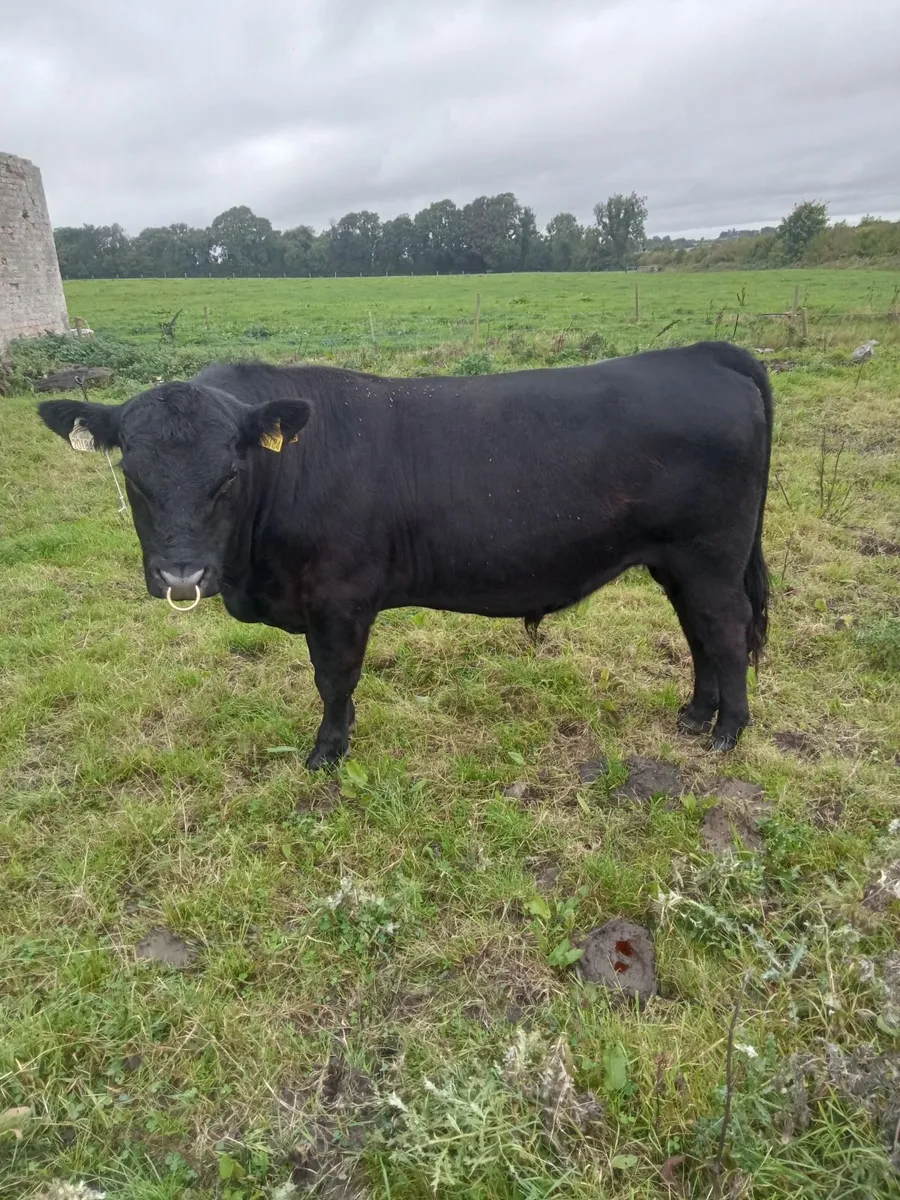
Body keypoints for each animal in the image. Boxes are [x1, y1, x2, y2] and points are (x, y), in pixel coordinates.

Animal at [37, 340, 772, 770]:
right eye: (133, 475)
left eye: (229, 477)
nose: (181, 574)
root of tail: (699, 354)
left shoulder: (338, 597)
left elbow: (334, 678)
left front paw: (328, 752)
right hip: (678, 562)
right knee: (699, 634)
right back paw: (694, 715)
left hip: (711, 556)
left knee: (726, 632)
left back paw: (727, 730)